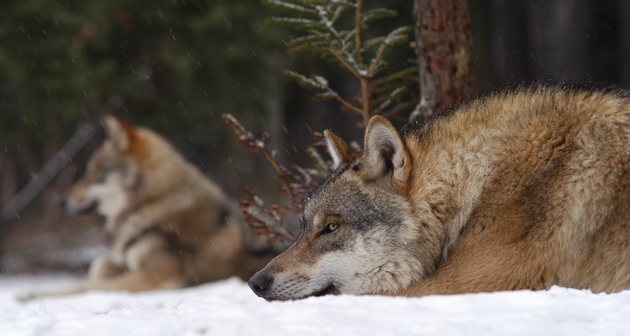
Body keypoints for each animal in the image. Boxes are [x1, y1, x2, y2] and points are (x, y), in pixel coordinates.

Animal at [21, 115, 276, 300]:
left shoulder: (160, 276)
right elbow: (98, 266)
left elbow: (87, 286)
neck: (150, 204)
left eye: (95, 172)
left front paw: (31, 293)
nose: (61, 200)